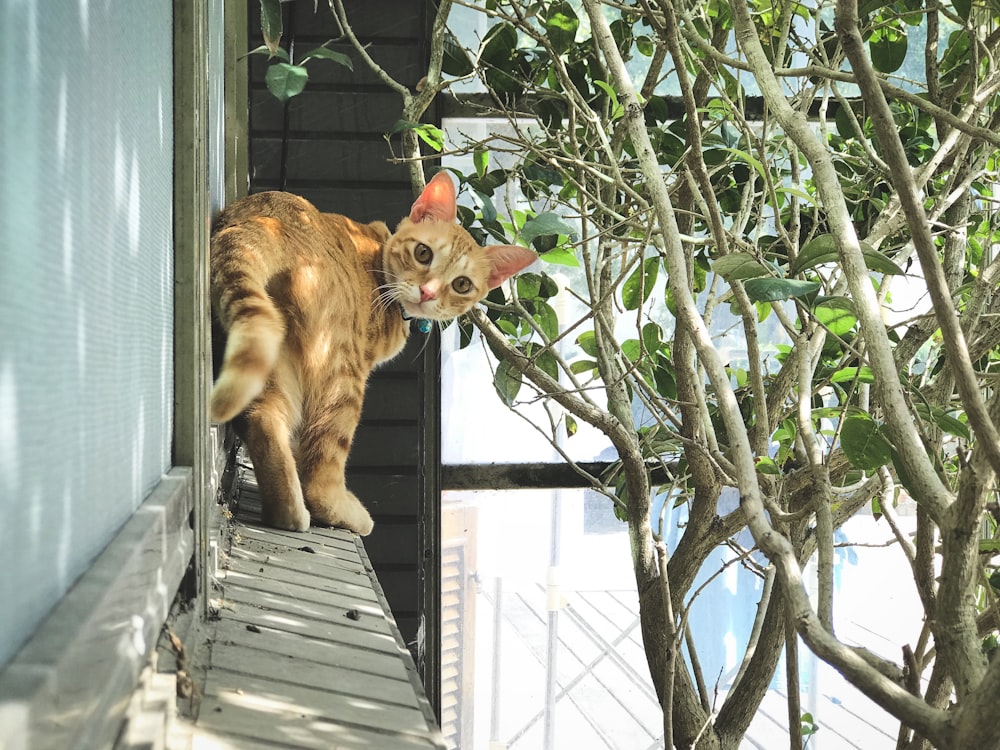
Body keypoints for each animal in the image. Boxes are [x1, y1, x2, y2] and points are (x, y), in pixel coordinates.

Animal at [210, 173, 536, 536]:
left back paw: (286, 512)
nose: (428, 293)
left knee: (263, 418)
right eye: (423, 253)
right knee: (321, 467)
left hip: (273, 352)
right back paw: (336, 510)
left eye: (462, 284)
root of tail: (270, 220)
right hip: (343, 374)